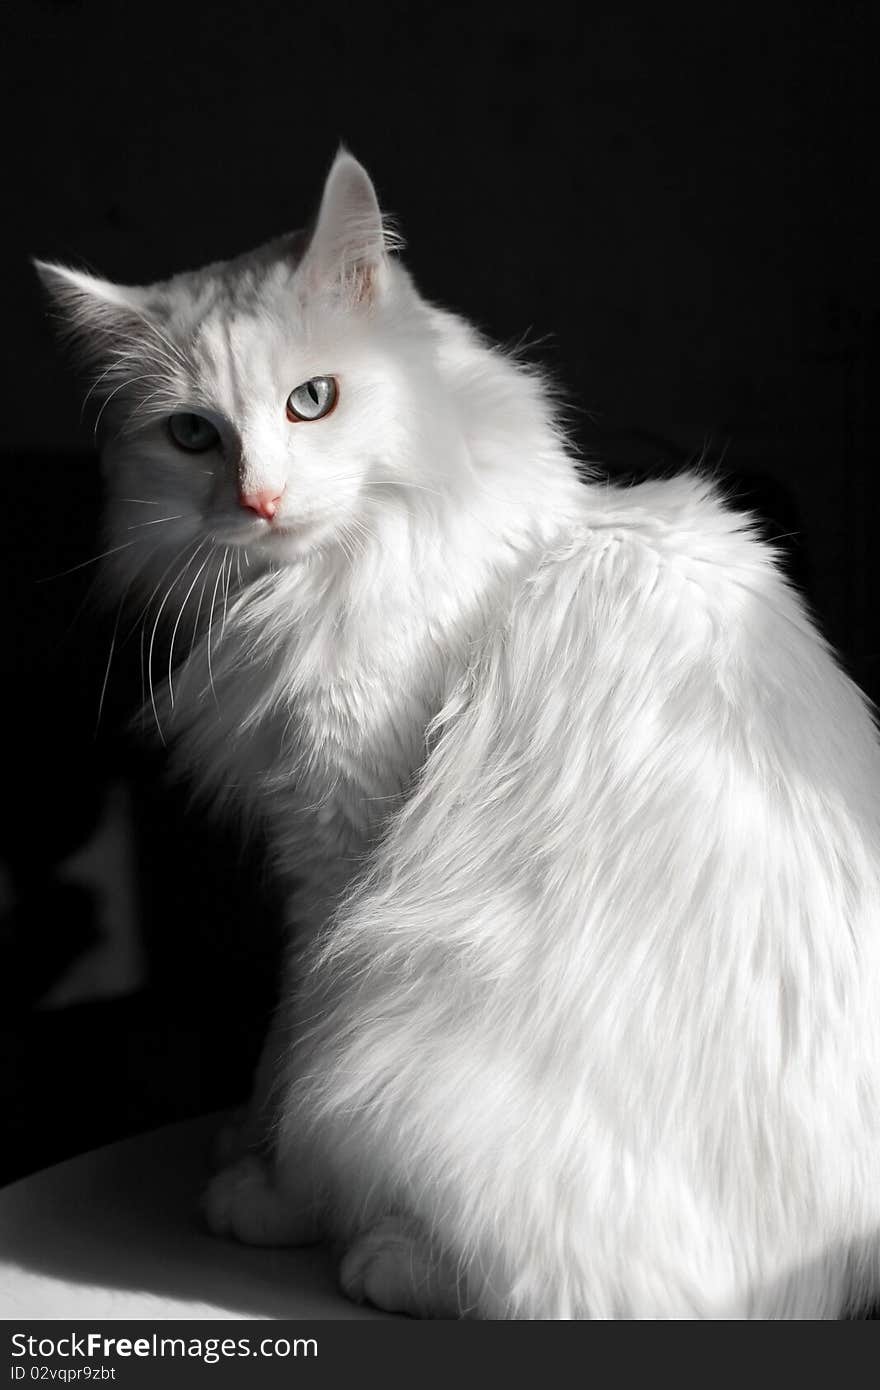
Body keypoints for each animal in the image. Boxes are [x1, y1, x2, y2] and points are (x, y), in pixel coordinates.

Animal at [37, 152, 878, 1312]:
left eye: (312, 402)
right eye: (192, 435)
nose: (258, 501)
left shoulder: (340, 852)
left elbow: (295, 1042)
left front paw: (273, 1191)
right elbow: (273, 1052)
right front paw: (243, 1143)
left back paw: (385, 1256)